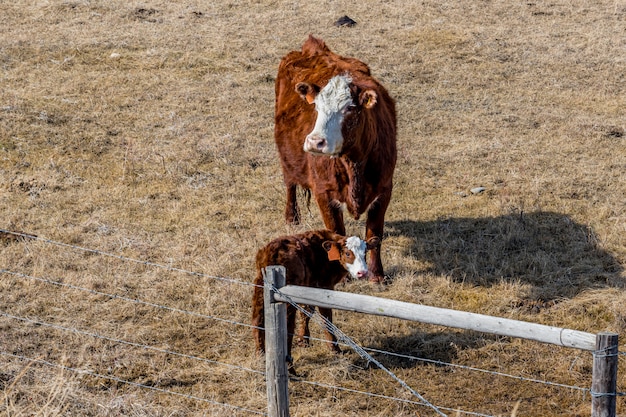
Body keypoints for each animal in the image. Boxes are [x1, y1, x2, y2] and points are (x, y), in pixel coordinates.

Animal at [251, 231, 378, 370]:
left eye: (365, 252)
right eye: (347, 253)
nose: (363, 272)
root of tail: (273, 250)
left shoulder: (308, 287)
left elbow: (306, 312)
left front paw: (303, 340)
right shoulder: (324, 287)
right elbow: (326, 318)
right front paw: (335, 349)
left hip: (259, 286)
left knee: (257, 320)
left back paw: (260, 357)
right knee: (287, 327)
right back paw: (290, 368)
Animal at [272, 35, 394, 282]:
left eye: (349, 108)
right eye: (316, 106)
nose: (315, 141)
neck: (354, 161)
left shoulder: (385, 189)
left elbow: (375, 234)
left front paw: (377, 275)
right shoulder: (324, 193)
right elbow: (337, 232)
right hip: (287, 159)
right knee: (290, 184)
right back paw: (292, 217)